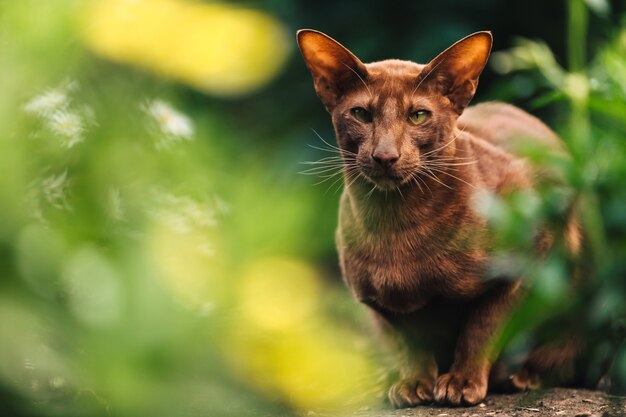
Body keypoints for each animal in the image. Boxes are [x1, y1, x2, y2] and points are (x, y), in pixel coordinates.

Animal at [294, 30, 584, 406]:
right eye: (360, 114)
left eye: (418, 116)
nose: (385, 155)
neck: (397, 228)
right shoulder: (379, 303)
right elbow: (409, 343)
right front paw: (413, 384)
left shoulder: (525, 261)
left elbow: (481, 329)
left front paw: (461, 383)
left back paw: (521, 377)